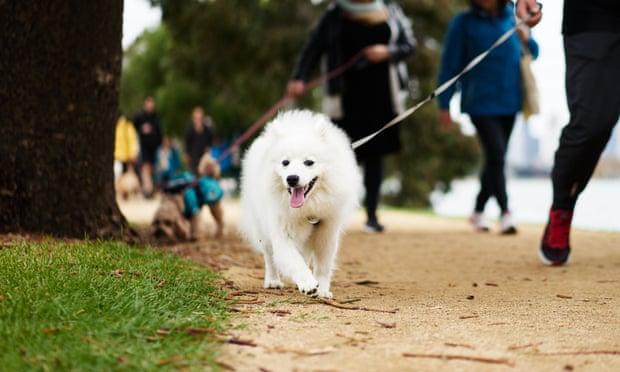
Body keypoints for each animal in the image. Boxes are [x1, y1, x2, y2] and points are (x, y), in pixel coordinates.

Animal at [239, 109, 364, 298]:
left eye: (309, 162)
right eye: (285, 162)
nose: (292, 178)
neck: (308, 210)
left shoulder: (326, 234)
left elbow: (322, 267)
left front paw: (322, 290)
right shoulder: (282, 234)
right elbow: (294, 261)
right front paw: (308, 284)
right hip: (262, 229)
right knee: (270, 257)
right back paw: (273, 281)